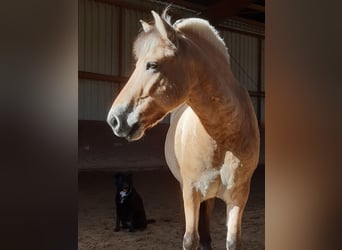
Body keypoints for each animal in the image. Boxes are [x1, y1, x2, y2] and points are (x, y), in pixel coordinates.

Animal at [107, 8, 260, 249]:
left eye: (152, 65)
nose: (114, 119)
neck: (223, 136)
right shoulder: (191, 190)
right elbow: (190, 239)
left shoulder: (239, 195)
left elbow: (233, 241)